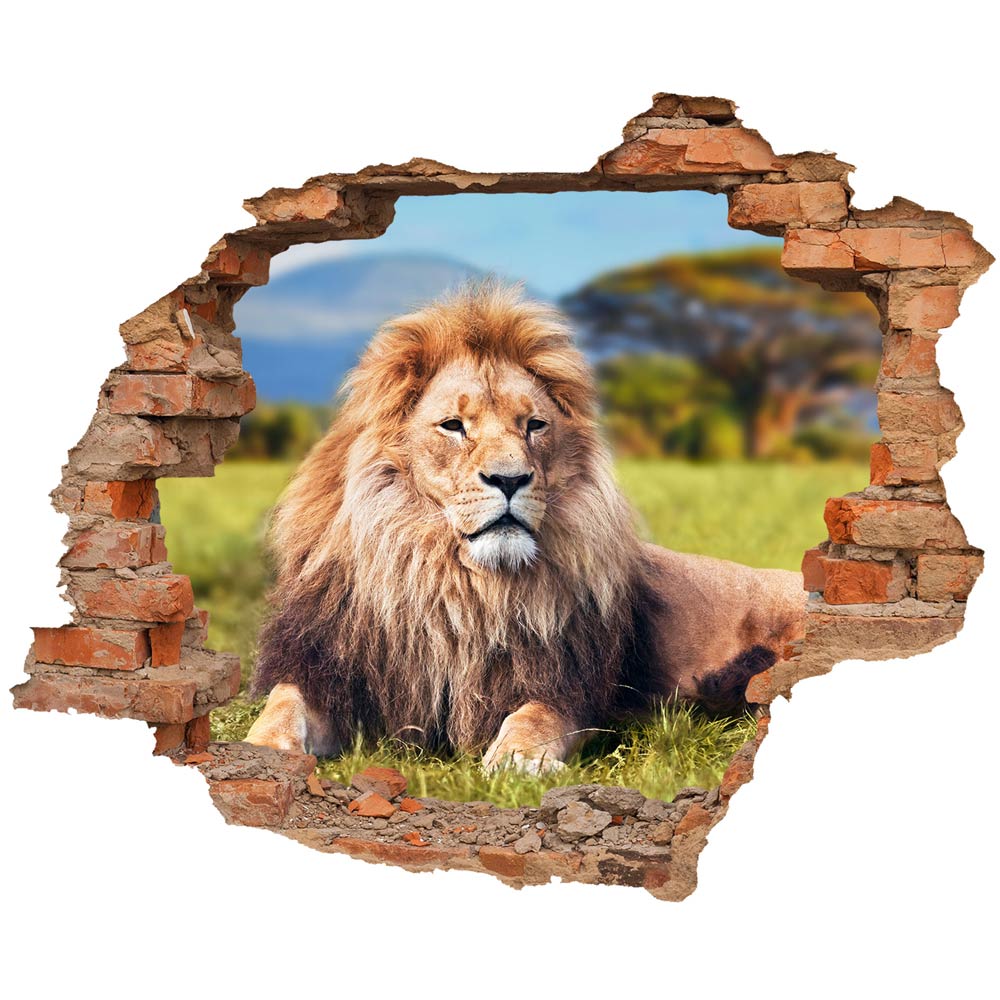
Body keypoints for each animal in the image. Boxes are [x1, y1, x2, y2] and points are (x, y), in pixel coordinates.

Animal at [245, 280, 806, 771]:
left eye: (534, 425)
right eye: (454, 426)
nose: (509, 479)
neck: (454, 585)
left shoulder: (568, 687)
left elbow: (534, 719)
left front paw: (517, 761)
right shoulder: (328, 668)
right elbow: (282, 705)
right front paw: (261, 750)